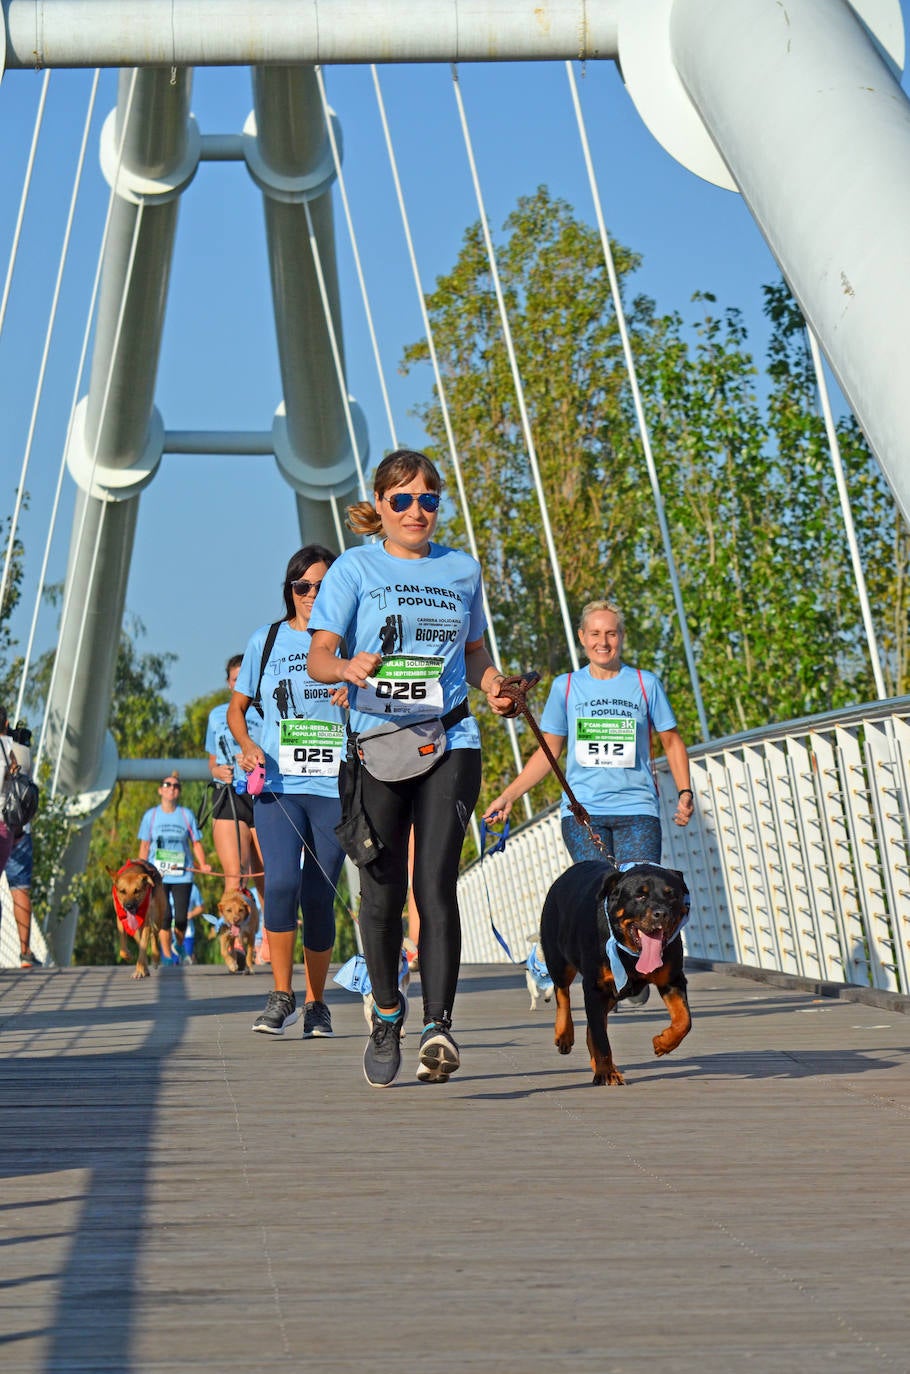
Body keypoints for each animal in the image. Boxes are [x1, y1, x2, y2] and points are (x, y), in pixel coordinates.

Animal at [541, 857, 692, 1082]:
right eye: (640, 895)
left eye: (671, 894)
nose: (661, 914)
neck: (632, 953)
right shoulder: (594, 986)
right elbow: (601, 1039)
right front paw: (606, 1074)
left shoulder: (672, 979)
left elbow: (684, 1019)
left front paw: (663, 1042)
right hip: (558, 959)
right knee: (562, 993)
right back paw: (564, 1034)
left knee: (591, 1026)